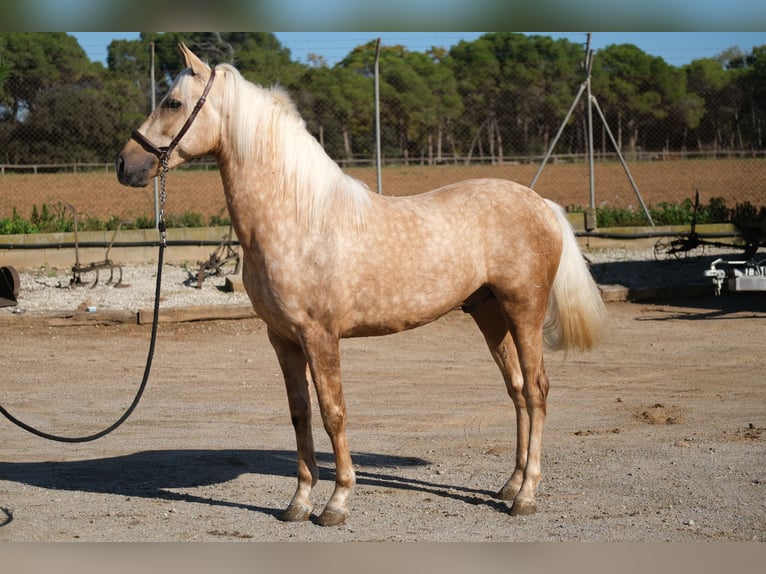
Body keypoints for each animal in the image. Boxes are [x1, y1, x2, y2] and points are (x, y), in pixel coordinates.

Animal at [115, 46, 608, 532]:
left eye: (172, 103)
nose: (125, 164)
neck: (299, 218)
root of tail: (541, 203)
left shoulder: (320, 336)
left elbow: (333, 413)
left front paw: (336, 504)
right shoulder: (282, 339)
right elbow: (300, 414)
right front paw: (297, 504)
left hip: (524, 309)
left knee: (537, 390)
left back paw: (526, 496)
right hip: (491, 314)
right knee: (518, 389)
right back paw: (510, 484)